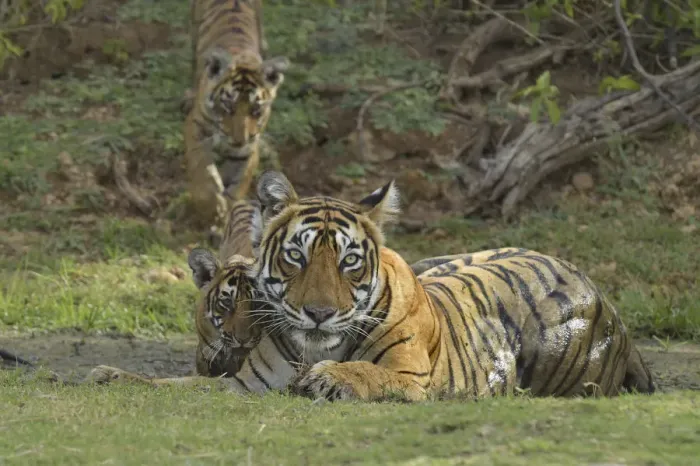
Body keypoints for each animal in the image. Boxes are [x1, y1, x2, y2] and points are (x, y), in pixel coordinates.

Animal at [184, 0, 290, 231]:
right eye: (228, 106)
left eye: (255, 110)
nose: (238, 140)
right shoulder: (195, 127)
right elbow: (202, 169)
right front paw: (212, 208)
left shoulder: (247, 149)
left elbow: (238, 184)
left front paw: (225, 217)